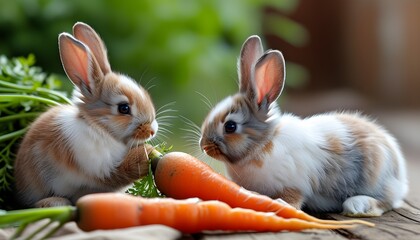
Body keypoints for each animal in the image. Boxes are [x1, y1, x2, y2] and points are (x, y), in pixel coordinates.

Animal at [14, 21, 159, 207]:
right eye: (124, 108)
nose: (152, 130)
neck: (98, 126)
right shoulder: (100, 168)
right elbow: (121, 173)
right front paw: (147, 153)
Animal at [199, 35, 408, 218]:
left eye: (230, 126)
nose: (203, 145)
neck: (264, 144)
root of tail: (400, 172)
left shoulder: (294, 184)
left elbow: (293, 200)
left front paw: (280, 204)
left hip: (378, 178)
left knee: (387, 202)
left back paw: (357, 205)